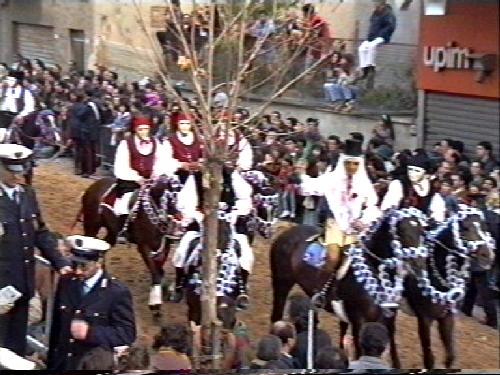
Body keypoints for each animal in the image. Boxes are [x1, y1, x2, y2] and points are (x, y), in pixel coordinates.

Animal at [75, 176, 181, 314]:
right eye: (170, 196)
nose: (178, 218)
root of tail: (92, 187)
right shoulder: (144, 246)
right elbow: (155, 272)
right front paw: (155, 304)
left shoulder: (163, 245)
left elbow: (158, 270)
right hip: (92, 226)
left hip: (112, 232)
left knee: (102, 248)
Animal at [272, 209, 428, 370]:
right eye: (402, 231)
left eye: (422, 231)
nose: (419, 264)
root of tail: (288, 231)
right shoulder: (358, 319)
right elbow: (360, 351)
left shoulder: (388, 318)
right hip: (281, 282)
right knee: (277, 313)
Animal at [402, 207, 496, 368]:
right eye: (465, 228)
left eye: (484, 227)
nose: (487, 255)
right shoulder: (425, 318)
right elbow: (429, 358)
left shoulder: (447, 316)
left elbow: (450, 356)